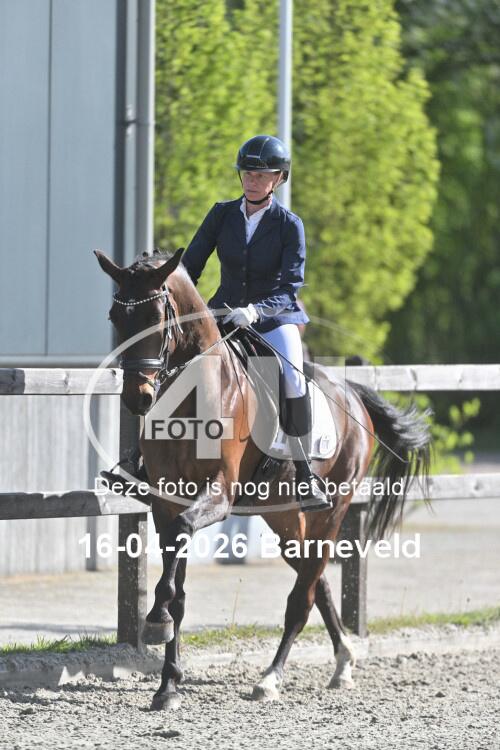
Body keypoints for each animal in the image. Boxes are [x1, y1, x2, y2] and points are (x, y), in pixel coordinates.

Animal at [95, 247, 431, 710]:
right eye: (115, 316)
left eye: (158, 317)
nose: (138, 398)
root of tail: (352, 394)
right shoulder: (167, 500)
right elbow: (178, 587)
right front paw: (168, 685)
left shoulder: (215, 496)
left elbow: (179, 555)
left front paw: (156, 621)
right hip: (283, 518)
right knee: (317, 580)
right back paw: (343, 662)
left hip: (332, 511)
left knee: (303, 596)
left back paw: (272, 677)